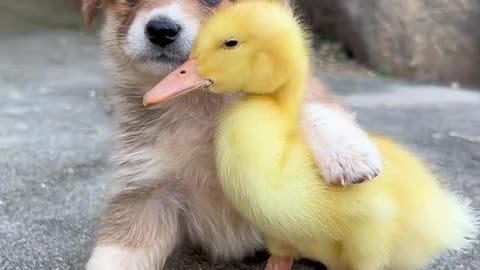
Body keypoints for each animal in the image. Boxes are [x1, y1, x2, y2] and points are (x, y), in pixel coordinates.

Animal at [81, 1, 382, 268]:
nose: (161, 30)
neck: (201, 105)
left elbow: (306, 107)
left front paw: (347, 152)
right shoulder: (144, 192)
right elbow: (116, 255)